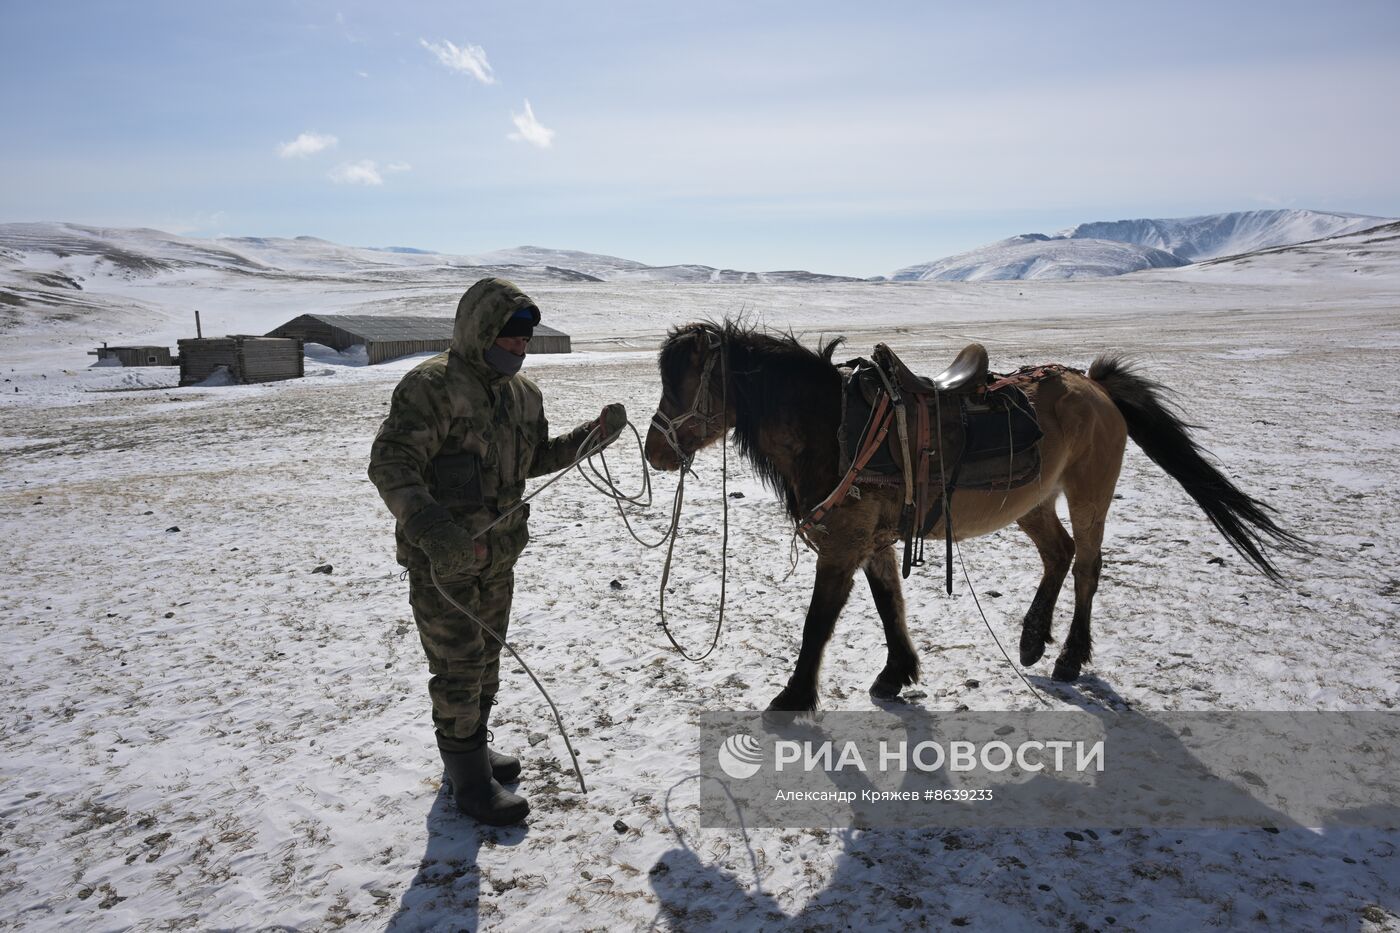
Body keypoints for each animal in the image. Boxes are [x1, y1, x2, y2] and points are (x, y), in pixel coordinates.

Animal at [641, 319, 1299, 711]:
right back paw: (1031, 641)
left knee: (1087, 565)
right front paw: (897, 673)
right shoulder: (873, 540)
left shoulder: (844, 543)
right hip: (1031, 501)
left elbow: (817, 623)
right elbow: (889, 605)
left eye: (683, 383)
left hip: (1089, 495)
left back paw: (1067, 657)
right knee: (1058, 554)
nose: (654, 452)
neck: (832, 428)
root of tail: (1095, 385)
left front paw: (795, 695)